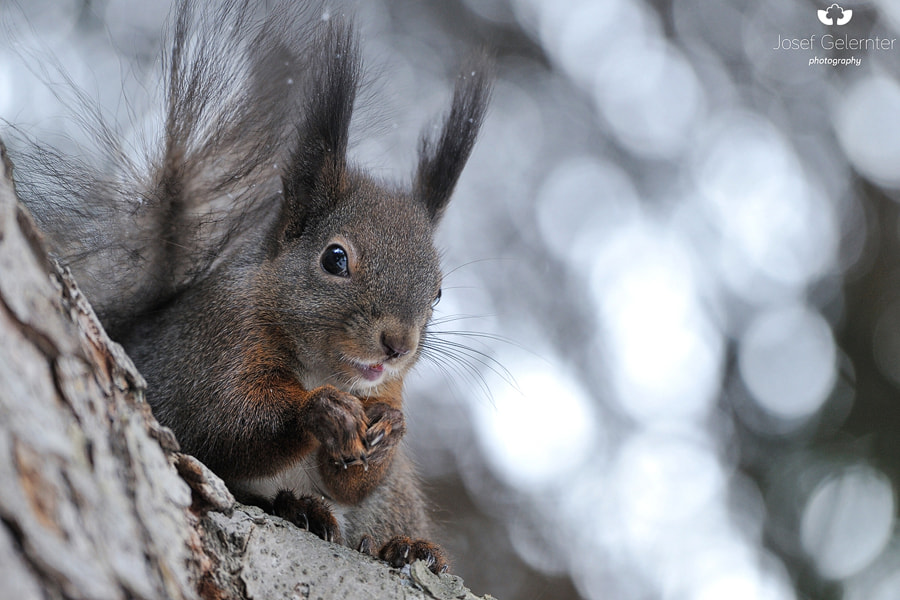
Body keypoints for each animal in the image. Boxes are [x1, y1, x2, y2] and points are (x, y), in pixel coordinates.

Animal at [12, 0, 491, 575]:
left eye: (438, 292)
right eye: (335, 259)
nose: (397, 345)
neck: (323, 368)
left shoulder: (385, 388)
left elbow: (354, 481)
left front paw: (392, 428)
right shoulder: (215, 343)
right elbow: (225, 425)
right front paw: (321, 411)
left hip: (394, 501)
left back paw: (407, 546)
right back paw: (300, 507)